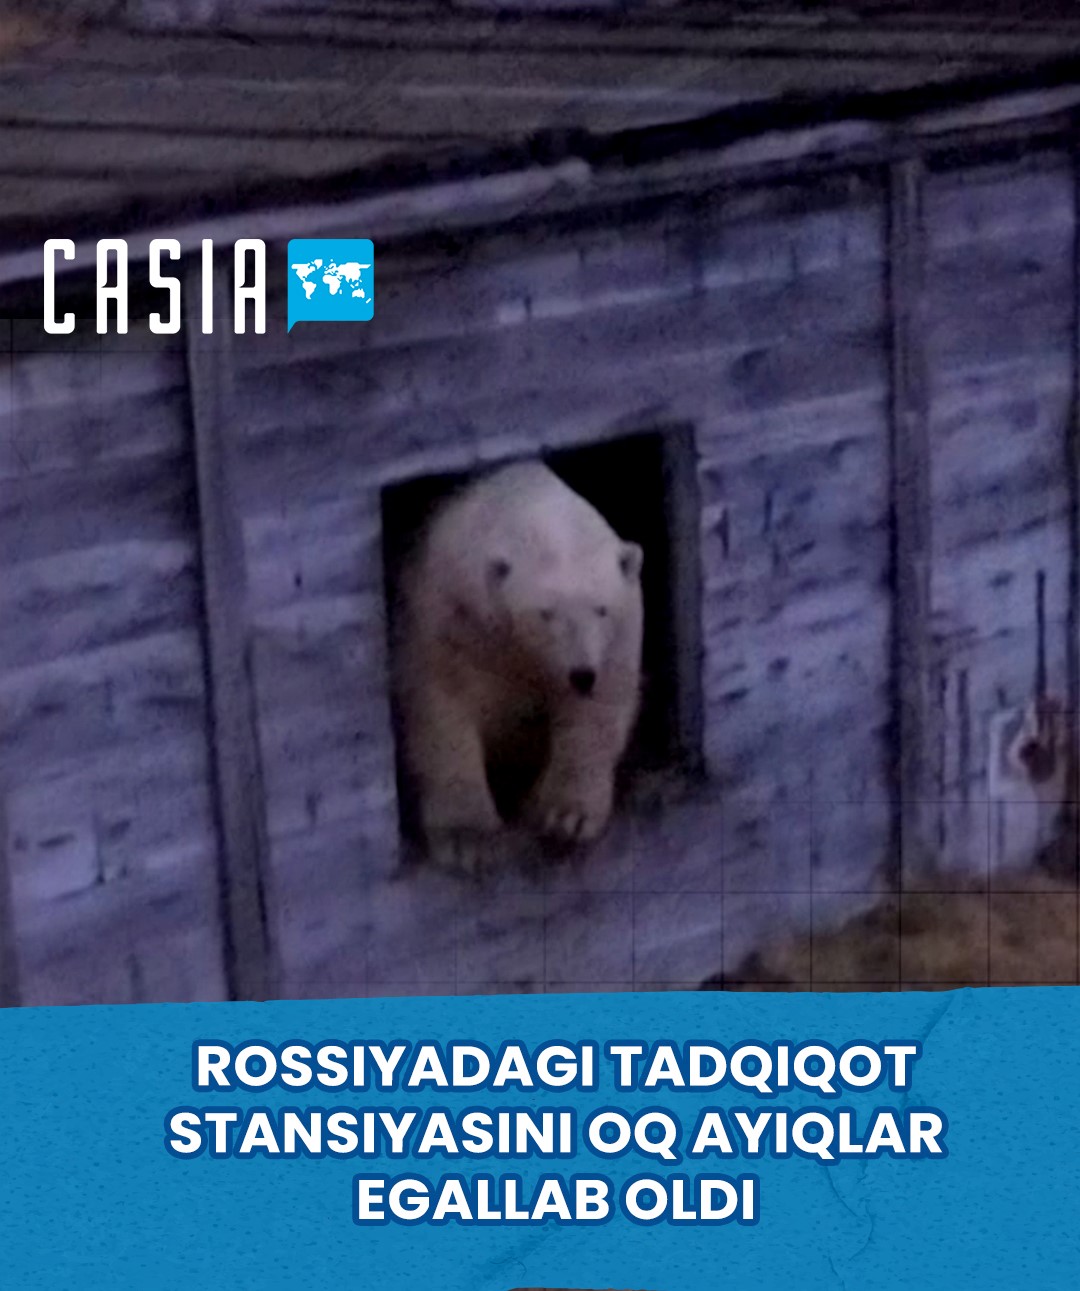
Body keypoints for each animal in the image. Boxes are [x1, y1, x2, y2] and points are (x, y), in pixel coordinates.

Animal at [391, 460, 644, 871]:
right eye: (546, 613)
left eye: (601, 609)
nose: (581, 674)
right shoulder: (448, 614)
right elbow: (441, 707)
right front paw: (467, 839)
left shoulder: (616, 640)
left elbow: (596, 713)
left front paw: (564, 816)